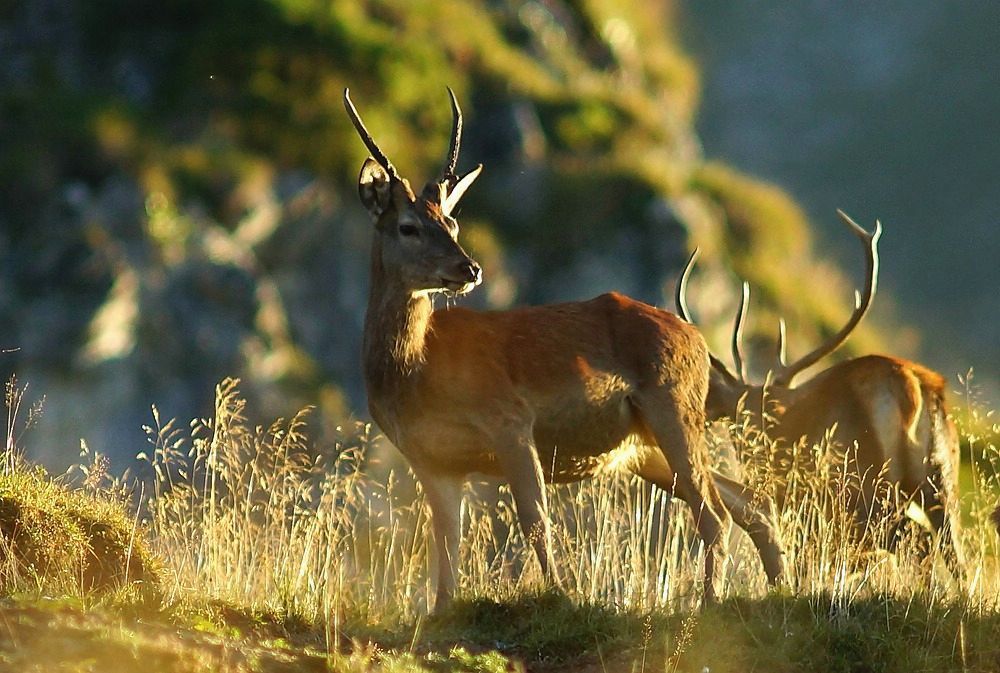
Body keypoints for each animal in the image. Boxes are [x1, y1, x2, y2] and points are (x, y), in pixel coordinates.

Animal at [348, 89, 784, 608]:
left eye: (451, 222)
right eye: (408, 226)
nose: (469, 268)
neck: (414, 372)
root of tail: (696, 337)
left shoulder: (510, 420)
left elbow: (536, 522)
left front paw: (560, 596)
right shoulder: (432, 460)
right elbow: (445, 551)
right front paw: (442, 612)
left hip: (673, 407)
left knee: (714, 514)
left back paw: (710, 603)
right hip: (644, 445)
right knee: (749, 501)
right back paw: (779, 584)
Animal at [676, 211, 964, 572]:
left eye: (736, 424)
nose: (753, 464)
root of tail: (909, 386)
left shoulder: (807, 513)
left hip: (864, 488)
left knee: (908, 541)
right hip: (942, 479)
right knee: (954, 555)